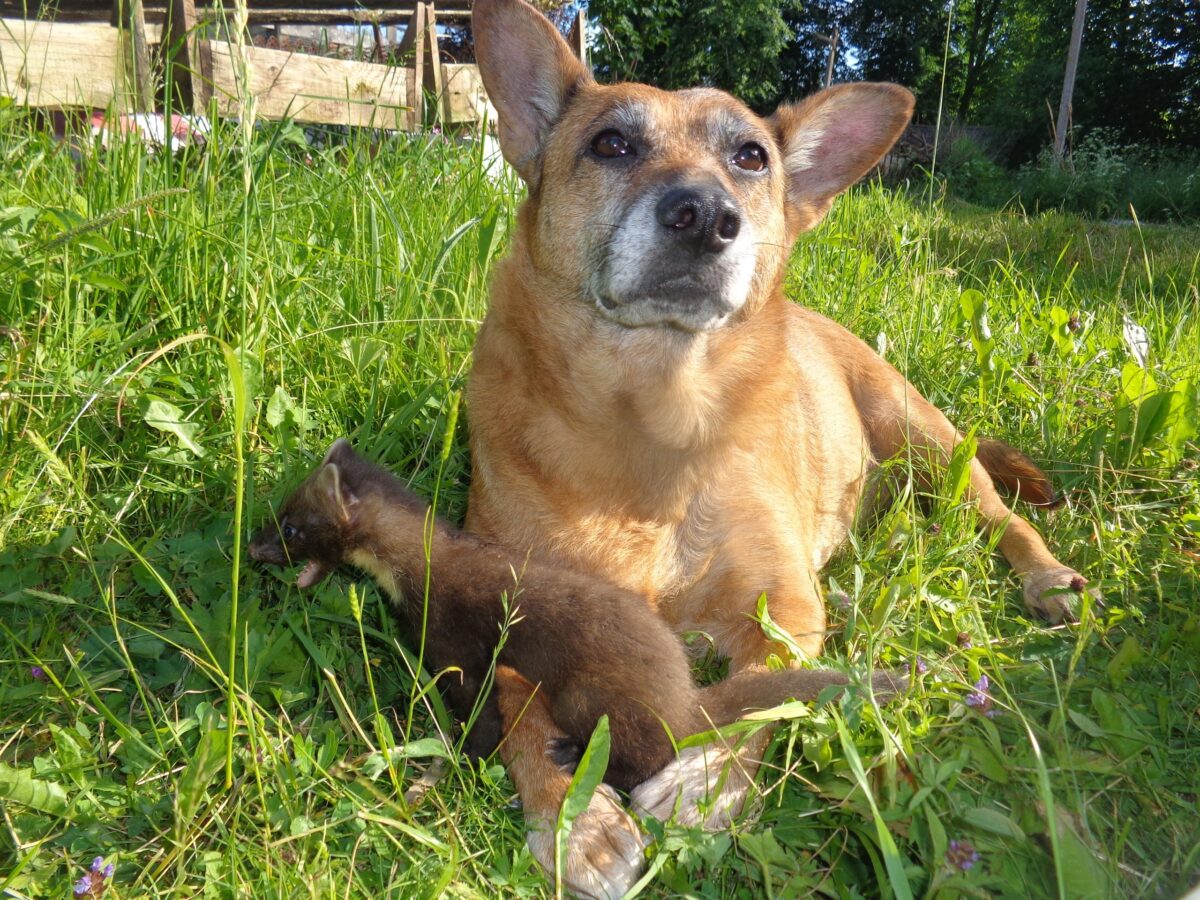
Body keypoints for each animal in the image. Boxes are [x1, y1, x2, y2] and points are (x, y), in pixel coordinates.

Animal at [465, 0, 1099, 888]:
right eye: (612, 144)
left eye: (750, 157)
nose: (706, 217)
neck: (650, 416)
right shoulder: (501, 603)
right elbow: (519, 706)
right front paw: (571, 815)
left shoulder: (786, 609)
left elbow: (770, 691)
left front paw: (708, 779)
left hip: (931, 444)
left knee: (1004, 520)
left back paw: (1046, 579)